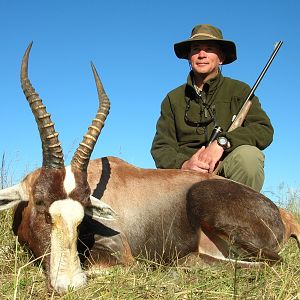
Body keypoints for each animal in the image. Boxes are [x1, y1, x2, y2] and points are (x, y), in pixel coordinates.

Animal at [0, 43, 300, 294]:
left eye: (84, 212)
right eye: (40, 202)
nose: (69, 284)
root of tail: (283, 214)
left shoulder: (120, 256)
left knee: (272, 262)